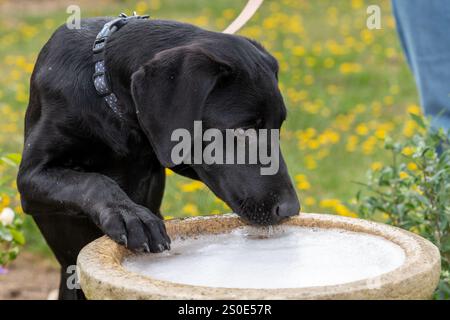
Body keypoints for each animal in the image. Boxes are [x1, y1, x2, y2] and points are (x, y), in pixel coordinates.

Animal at [17, 16, 300, 298]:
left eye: (279, 127)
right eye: (244, 130)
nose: (291, 210)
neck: (103, 87)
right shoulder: (30, 177)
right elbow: (93, 181)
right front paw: (131, 216)